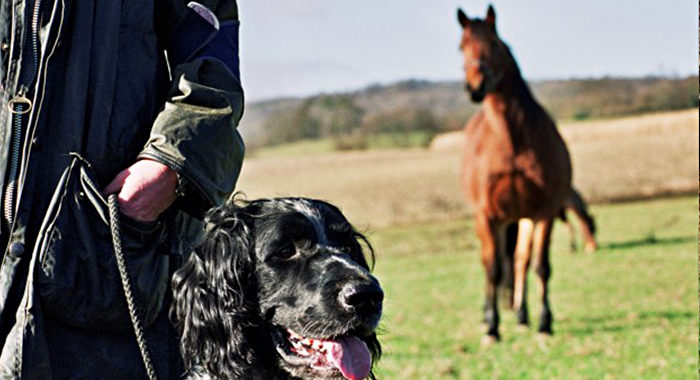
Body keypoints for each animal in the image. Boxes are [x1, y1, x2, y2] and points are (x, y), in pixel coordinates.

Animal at [456, 4, 576, 342]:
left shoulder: (544, 212)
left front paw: (544, 322)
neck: (511, 140)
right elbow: (494, 270)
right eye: (462, 47)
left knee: (520, 261)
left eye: (494, 44)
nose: (475, 87)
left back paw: (523, 315)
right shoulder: (487, 216)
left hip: (522, 218)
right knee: (492, 265)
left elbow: (540, 266)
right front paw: (492, 327)